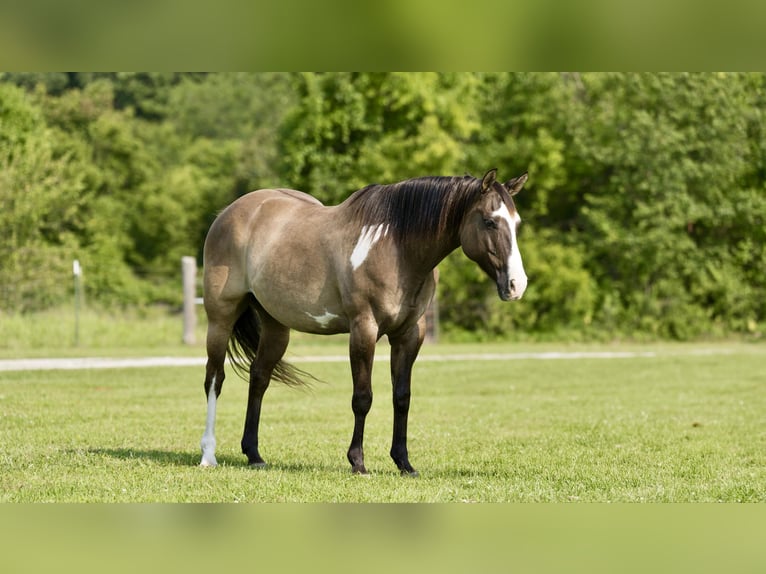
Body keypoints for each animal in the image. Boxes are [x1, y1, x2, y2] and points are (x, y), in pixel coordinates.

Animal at [200, 169, 528, 480]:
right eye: (489, 222)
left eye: (516, 223)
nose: (517, 285)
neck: (396, 248)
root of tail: (228, 213)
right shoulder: (363, 329)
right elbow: (363, 397)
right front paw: (357, 462)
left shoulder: (409, 334)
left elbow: (402, 397)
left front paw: (404, 462)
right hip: (220, 319)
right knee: (215, 379)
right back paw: (208, 455)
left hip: (276, 326)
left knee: (259, 378)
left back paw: (254, 454)